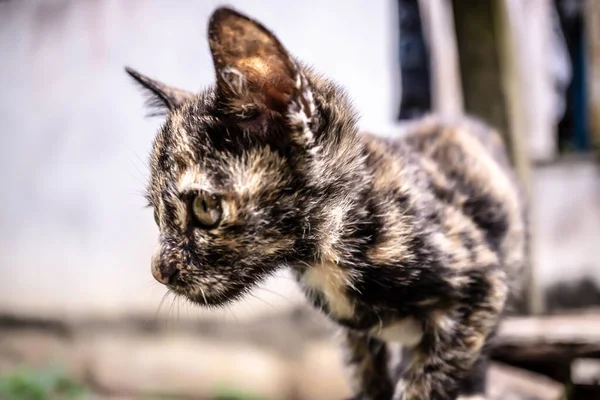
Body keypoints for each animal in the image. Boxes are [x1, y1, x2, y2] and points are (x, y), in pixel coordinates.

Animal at [125, 6, 524, 400]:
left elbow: (425, 385)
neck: (331, 245)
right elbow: (368, 379)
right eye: (156, 213)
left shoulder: (483, 287)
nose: (158, 271)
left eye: (206, 208)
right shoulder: (357, 337)